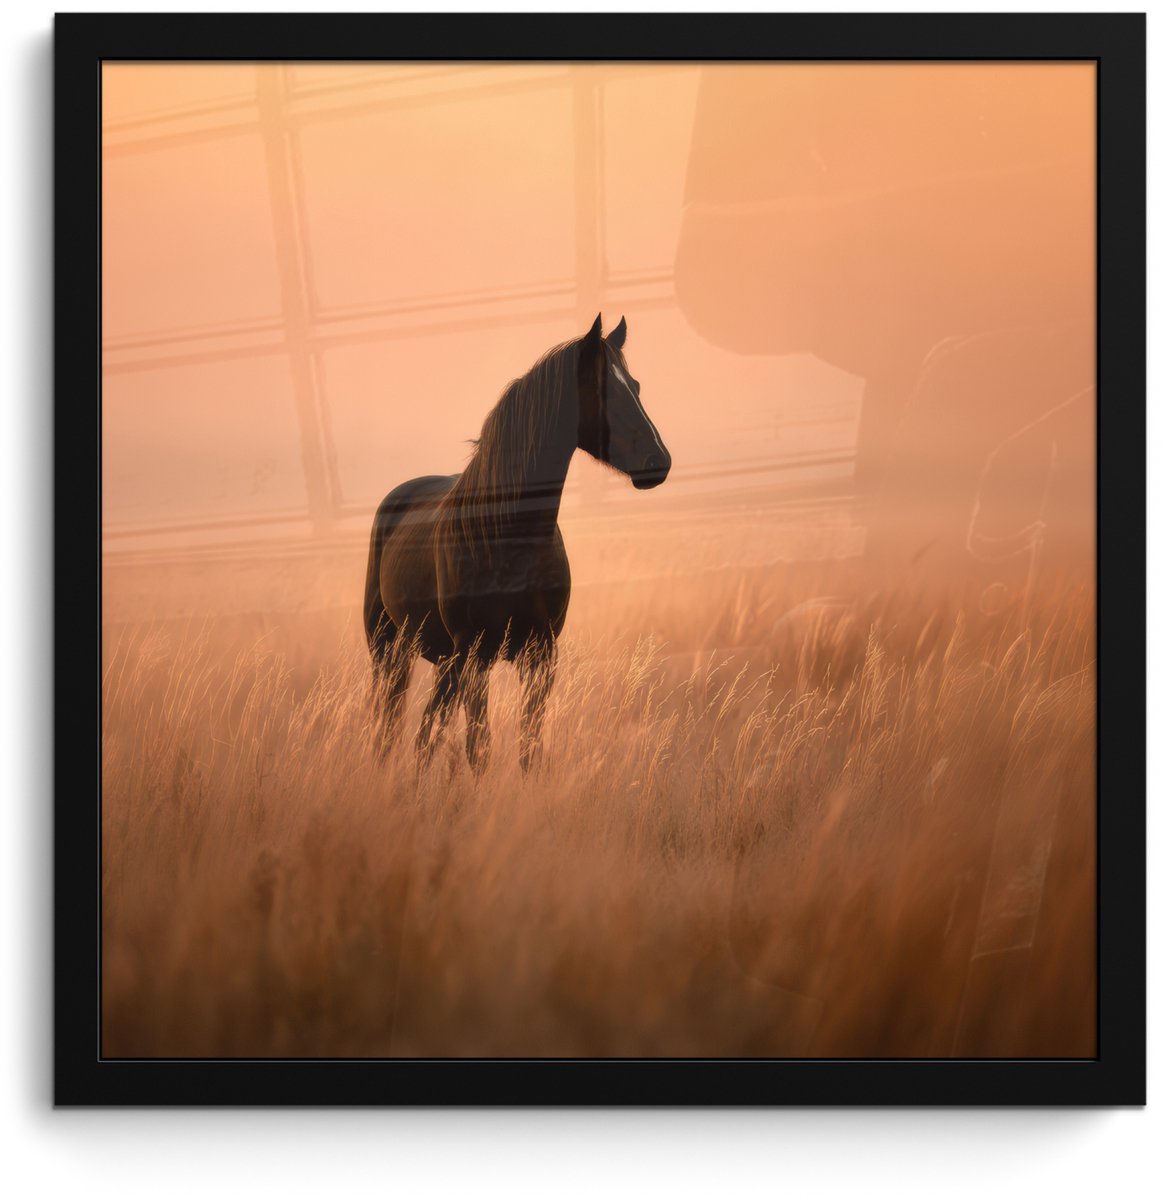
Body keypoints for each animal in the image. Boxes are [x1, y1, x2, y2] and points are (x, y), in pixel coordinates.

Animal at [363, 314, 671, 773]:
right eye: (601, 388)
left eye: (634, 385)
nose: (658, 462)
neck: (507, 536)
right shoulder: (476, 656)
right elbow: (479, 748)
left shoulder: (540, 655)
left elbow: (529, 747)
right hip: (391, 649)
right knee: (392, 728)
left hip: (441, 660)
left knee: (425, 733)